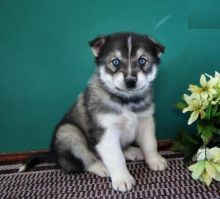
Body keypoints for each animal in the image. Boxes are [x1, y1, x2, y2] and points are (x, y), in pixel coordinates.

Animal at [19, 32, 168, 191]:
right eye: (115, 62)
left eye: (142, 60)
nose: (130, 81)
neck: (126, 101)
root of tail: (55, 156)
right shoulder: (105, 133)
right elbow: (116, 158)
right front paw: (122, 178)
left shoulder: (146, 121)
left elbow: (150, 143)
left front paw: (155, 159)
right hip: (68, 132)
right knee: (83, 161)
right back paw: (100, 166)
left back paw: (133, 151)